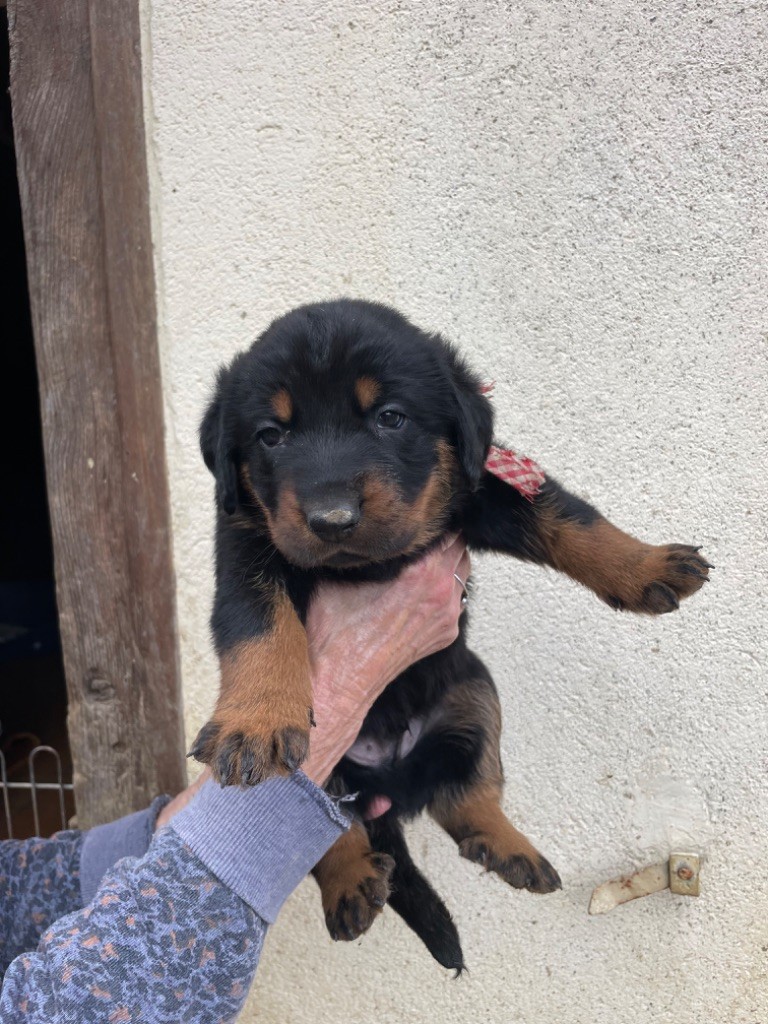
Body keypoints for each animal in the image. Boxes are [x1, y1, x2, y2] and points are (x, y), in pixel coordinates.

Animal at [191, 299, 708, 970]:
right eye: (270, 436)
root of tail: (393, 781)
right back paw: (352, 880)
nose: (332, 520)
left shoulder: (481, 487)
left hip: (473, 690)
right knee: (330, 826)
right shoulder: (247, 543)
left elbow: (568, 517)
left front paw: (647, 565)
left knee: (465, 792)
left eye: (390, 418)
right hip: (342, 762)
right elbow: (259, 627)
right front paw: (254, 721)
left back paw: (507, 847)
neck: (366, 566)